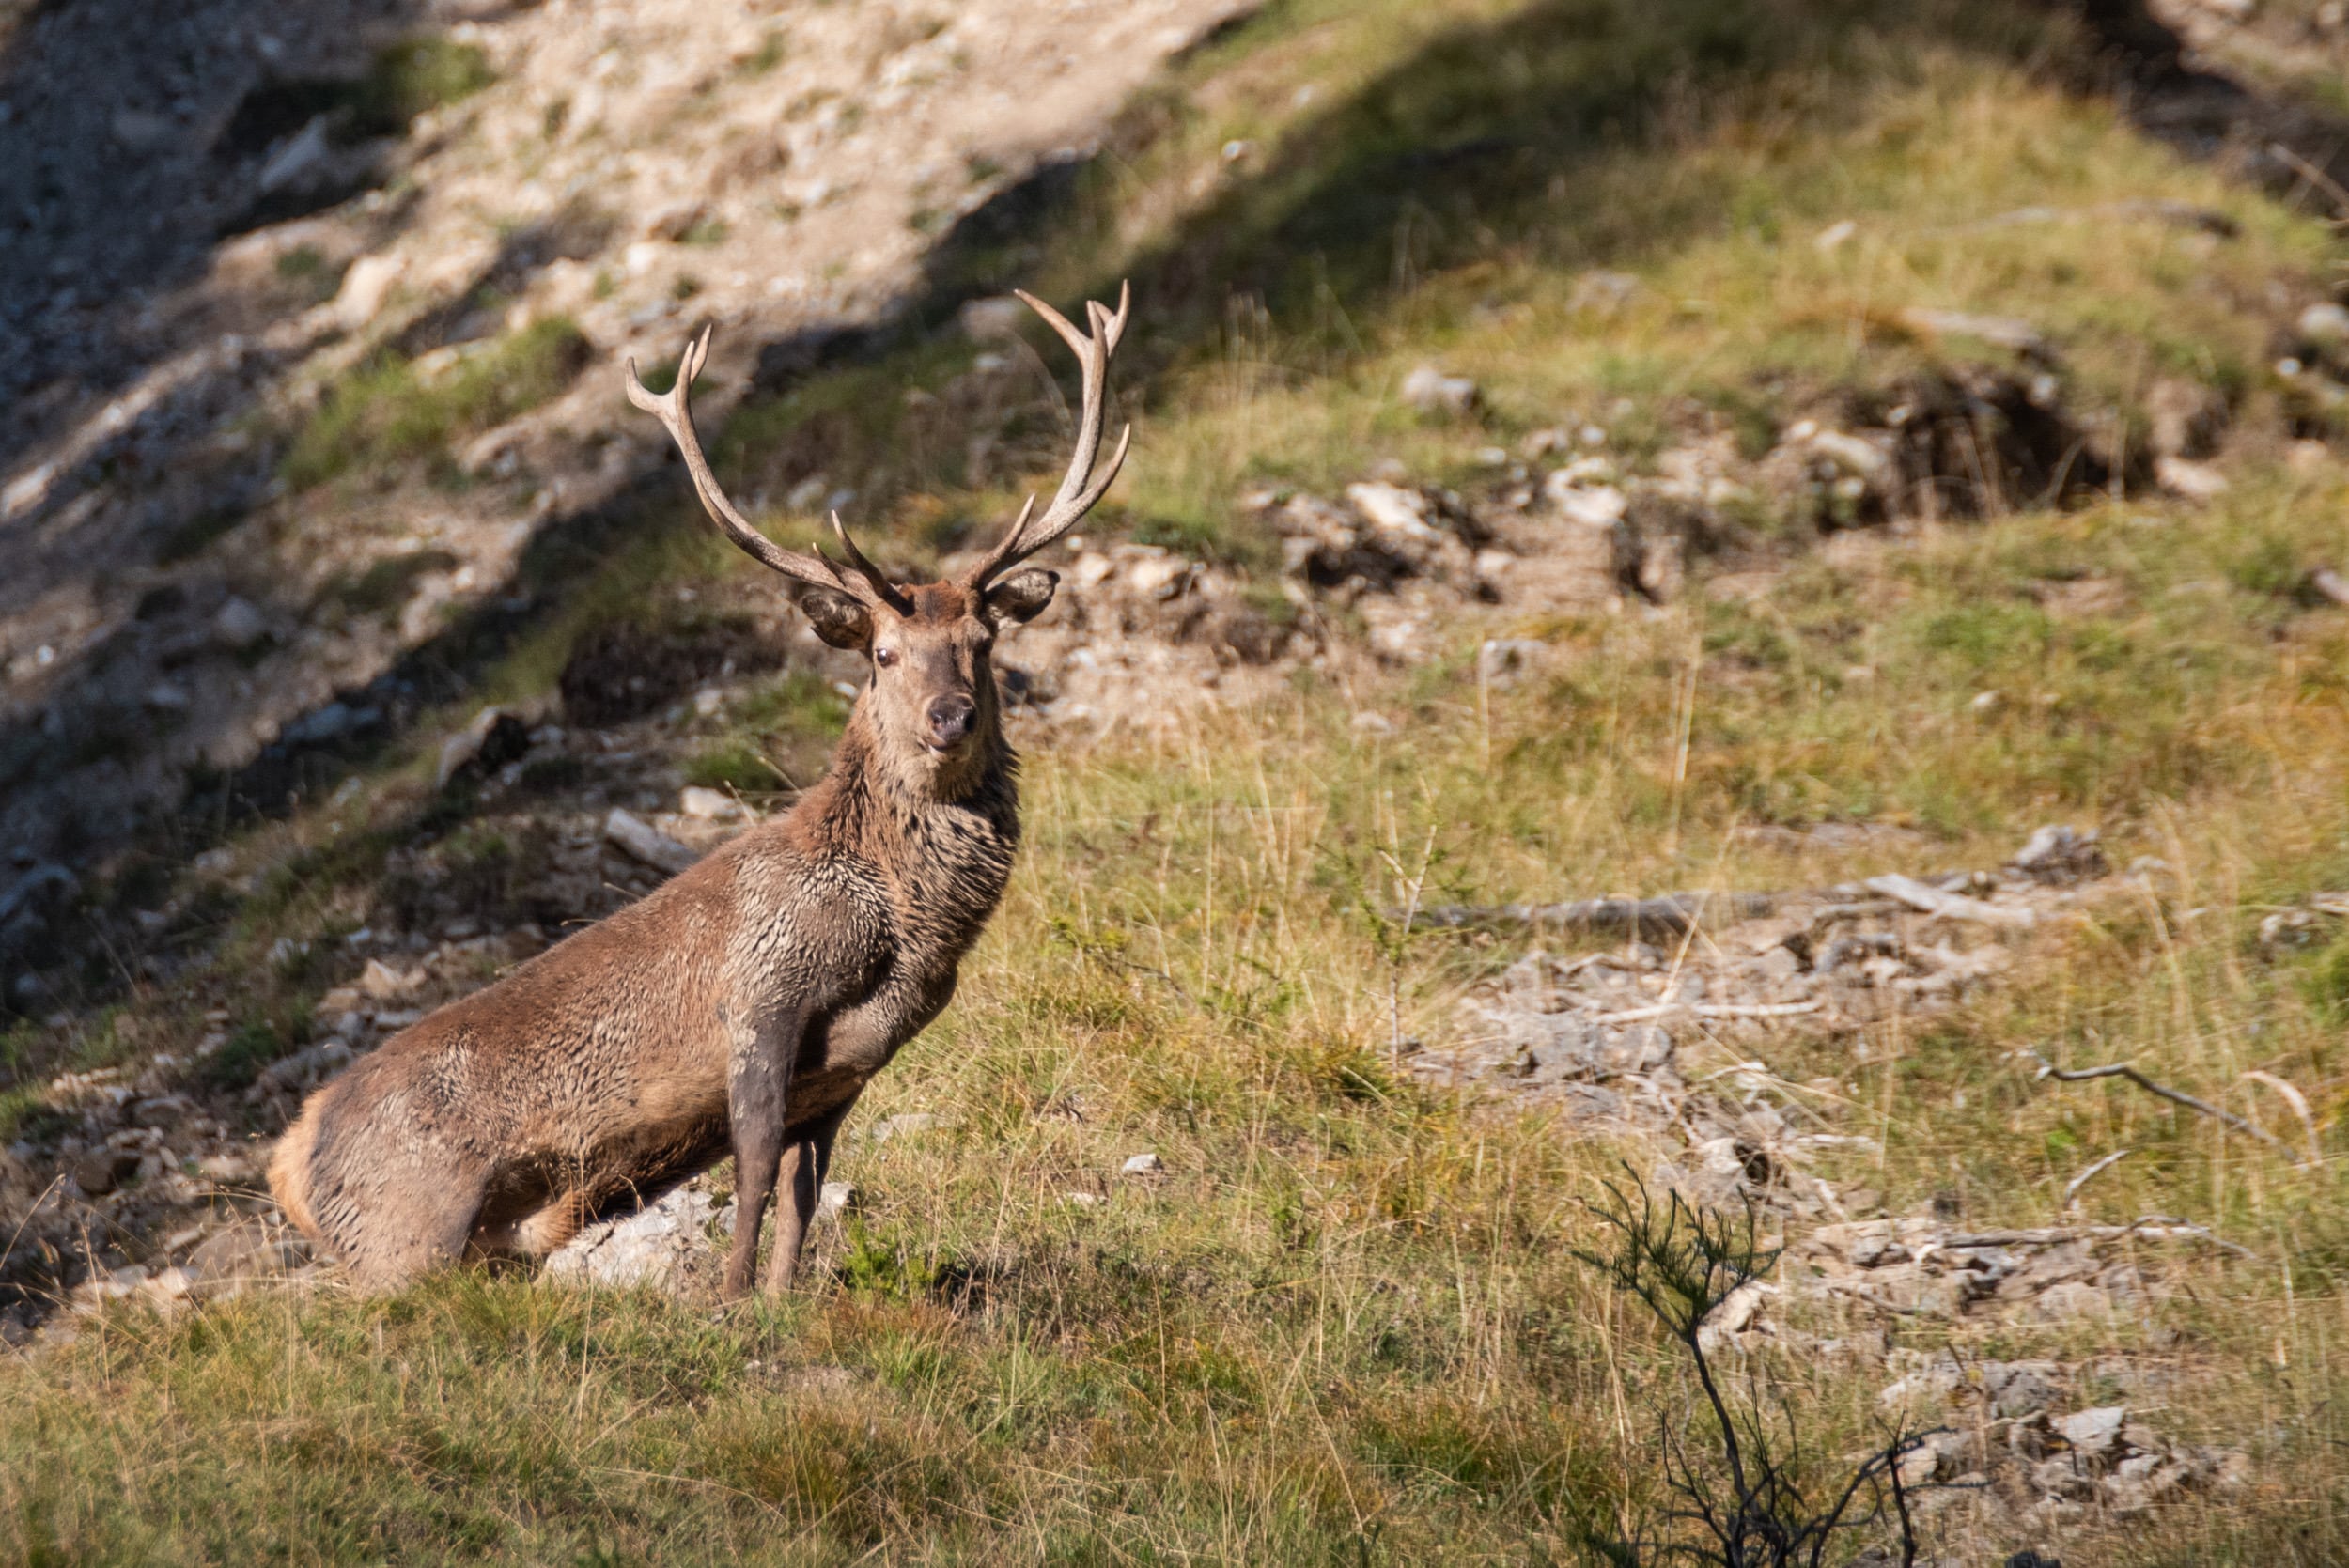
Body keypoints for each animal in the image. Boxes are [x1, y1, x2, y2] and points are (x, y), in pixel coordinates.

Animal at [269, 284, 1130, 1299]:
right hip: (407, 1235)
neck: (900, 922)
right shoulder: (762, 994)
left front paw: (784, 1294)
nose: (949, 716)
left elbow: (803, 1193)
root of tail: (288, 1159)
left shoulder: (845, 1074)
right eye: (883, 653)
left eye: (983, 643)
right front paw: (731, 1296)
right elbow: (753, 1170)